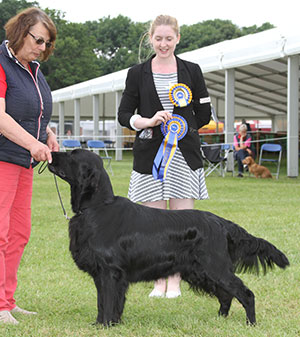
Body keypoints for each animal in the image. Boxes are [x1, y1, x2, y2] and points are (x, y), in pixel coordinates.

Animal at [48, 149, 290, 326]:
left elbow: (107, 302)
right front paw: (103, 324)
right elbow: (103, 303)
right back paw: (220, 319)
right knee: (226, 295)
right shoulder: (103, 274)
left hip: (215, 267)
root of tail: (220, 222)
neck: (98, 207)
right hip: (202, 272)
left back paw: (251, 323)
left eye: (72, 154)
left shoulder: (110, 272)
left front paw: (106, 325)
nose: (51, 151)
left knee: (245, 293)